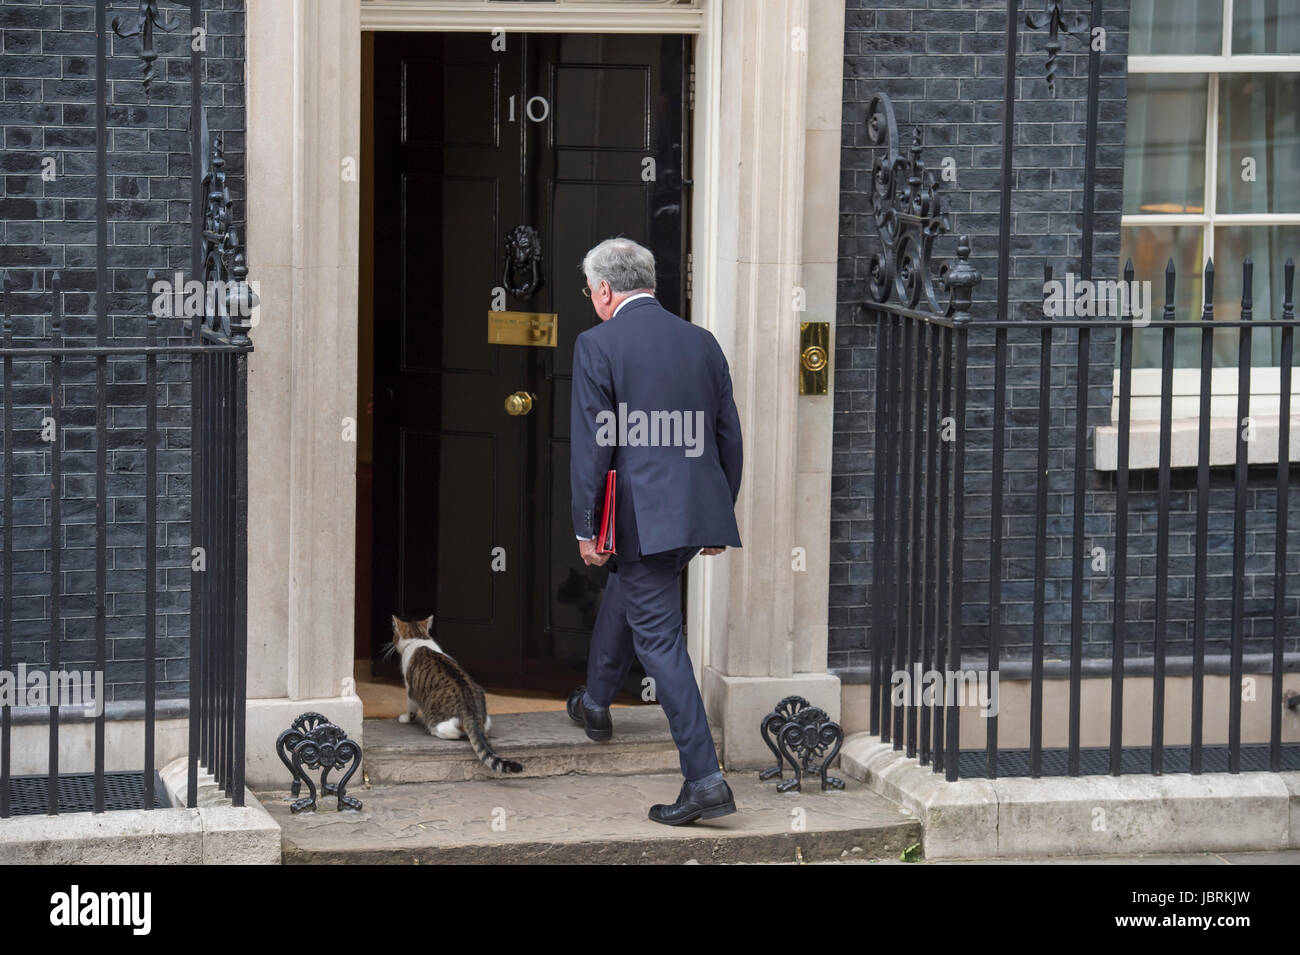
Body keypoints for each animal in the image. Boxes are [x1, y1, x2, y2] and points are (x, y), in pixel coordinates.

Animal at [390, 613, 522, 779]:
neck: (418, 638)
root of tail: (470, 711)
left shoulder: (410, 689)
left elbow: (411, 707)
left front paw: (406, 718)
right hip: (486, 715)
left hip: (438, 720)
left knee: (452, 732)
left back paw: (435, 731)